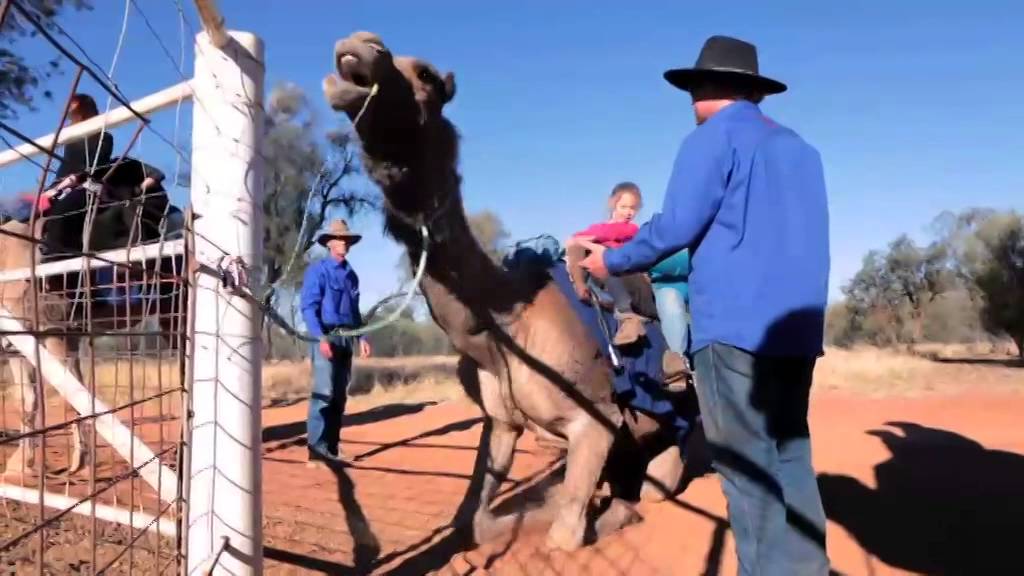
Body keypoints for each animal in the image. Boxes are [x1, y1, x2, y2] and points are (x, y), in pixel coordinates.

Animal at [322, 31, 693, 551]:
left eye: (426, 76)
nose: (359, 46)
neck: (506, 325)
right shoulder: (501, 423)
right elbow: (477, 520)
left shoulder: (595, 421)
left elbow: (563, 535)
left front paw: (597, 514)